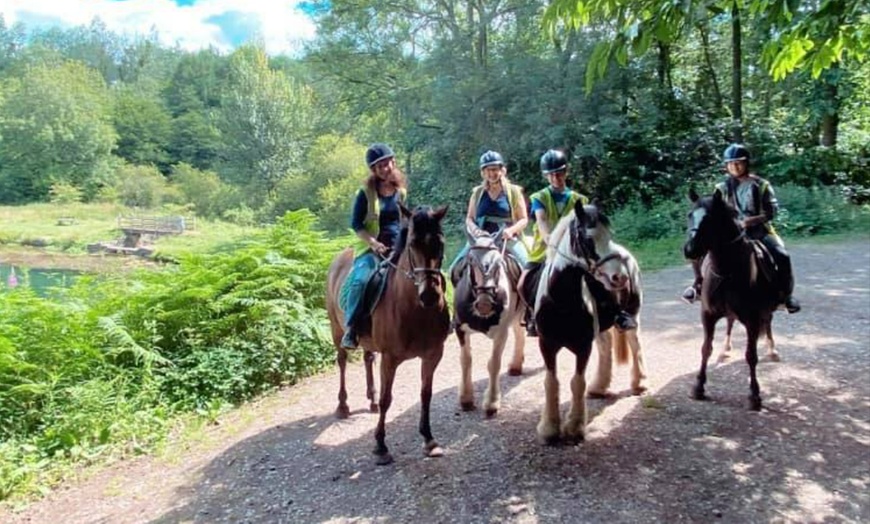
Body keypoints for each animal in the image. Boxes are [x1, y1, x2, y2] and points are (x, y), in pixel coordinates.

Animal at [326, 203, 454, 464]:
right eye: (413, 244)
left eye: (441, 242)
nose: (429, 295)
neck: (415, 310)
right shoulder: (390, 358)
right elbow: (388, 399)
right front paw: (381, 445)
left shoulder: (433, 354)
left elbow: (426, 394)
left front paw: (429, 439)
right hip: (336, 329)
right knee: (342, 361)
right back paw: (342, 406)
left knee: (367, 359)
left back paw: (371, 400)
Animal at [454, 229, 528, 418]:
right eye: (471, 261)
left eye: (498, 263)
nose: (484, 303)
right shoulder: (460, 328)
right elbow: (466, 360)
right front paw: (466, 399)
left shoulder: (501, 332)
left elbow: (494, 363)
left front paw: (492, 403)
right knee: (519, 333)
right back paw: (516, 365)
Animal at [684, 188, 780, 410]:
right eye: (690, 215)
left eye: (710, 218)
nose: (689, 250)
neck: (727, 272)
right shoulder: (708, 315)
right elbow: (705, 349)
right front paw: (698, 387)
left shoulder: (752, 320)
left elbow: (751, 356)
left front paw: (755, 395)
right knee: (729, 322)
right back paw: (725, 350)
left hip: (767, 310)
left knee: (768, 324)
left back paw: (772, 350)